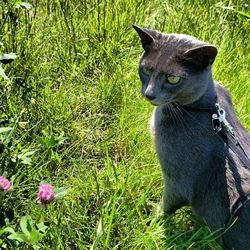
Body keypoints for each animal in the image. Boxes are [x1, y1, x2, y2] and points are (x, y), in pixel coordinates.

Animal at [133, 23, 250, 250]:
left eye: (173, 79)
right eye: (145, 70)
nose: (149, 93)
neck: (204, 109)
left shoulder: (178, 180)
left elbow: (167, 203)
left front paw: (151, 215)